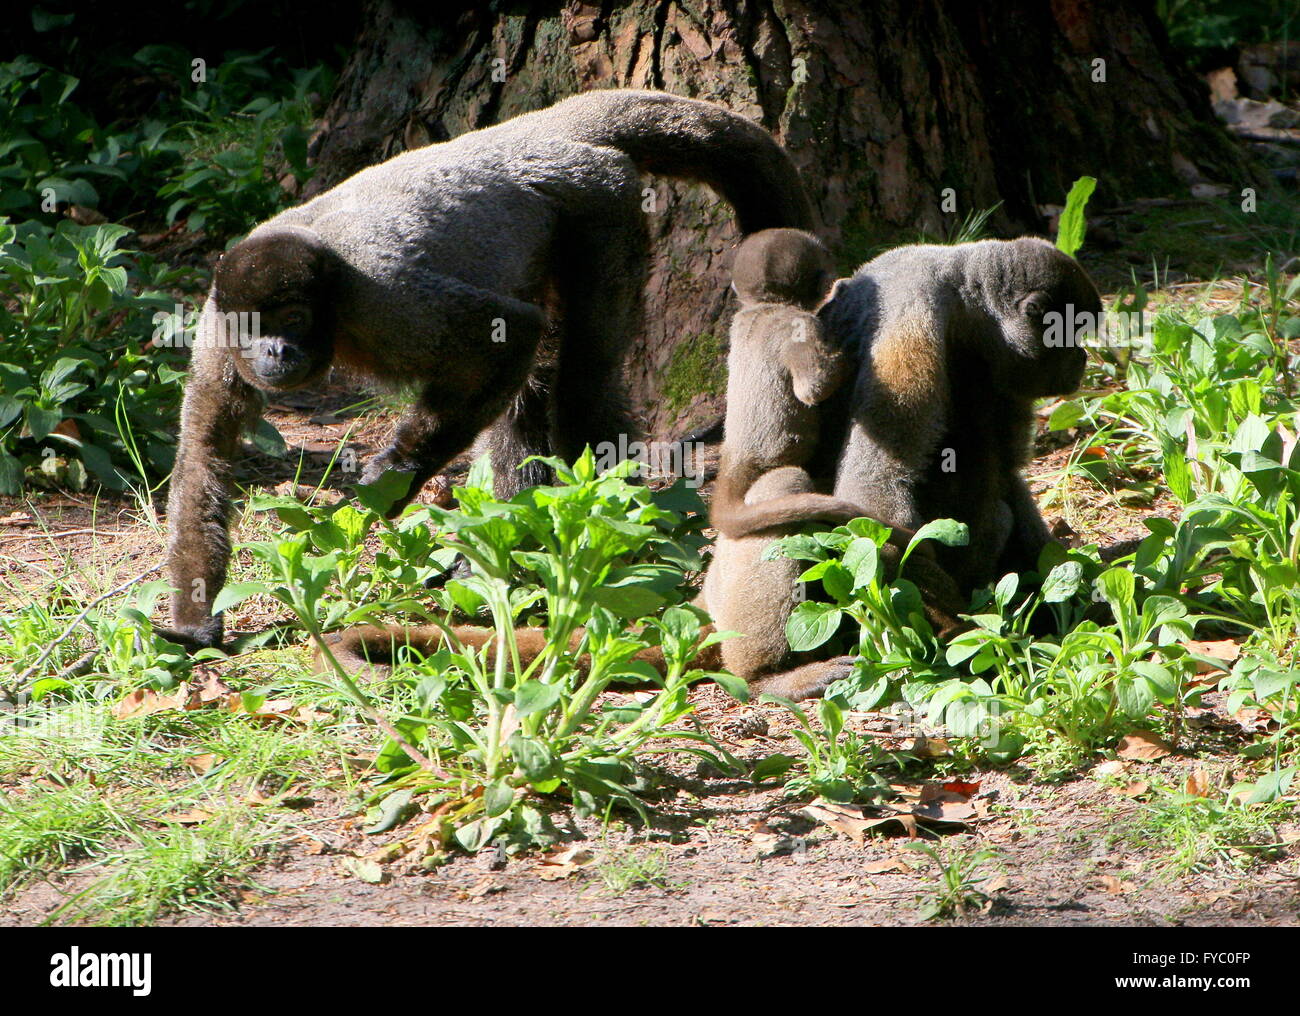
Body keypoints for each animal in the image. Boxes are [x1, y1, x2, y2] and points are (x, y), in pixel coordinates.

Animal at [162, 85, 811, 644]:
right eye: (254, 328)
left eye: (293, 318)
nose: (274, 351)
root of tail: (540, 130)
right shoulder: (216, 331)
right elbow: (203, 456)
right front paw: (193, 621)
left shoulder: (380, 299)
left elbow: (507, 334)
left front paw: (396, 474)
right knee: (529, 391)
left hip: (602, 203)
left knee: (584, 376)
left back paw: (602, 532)